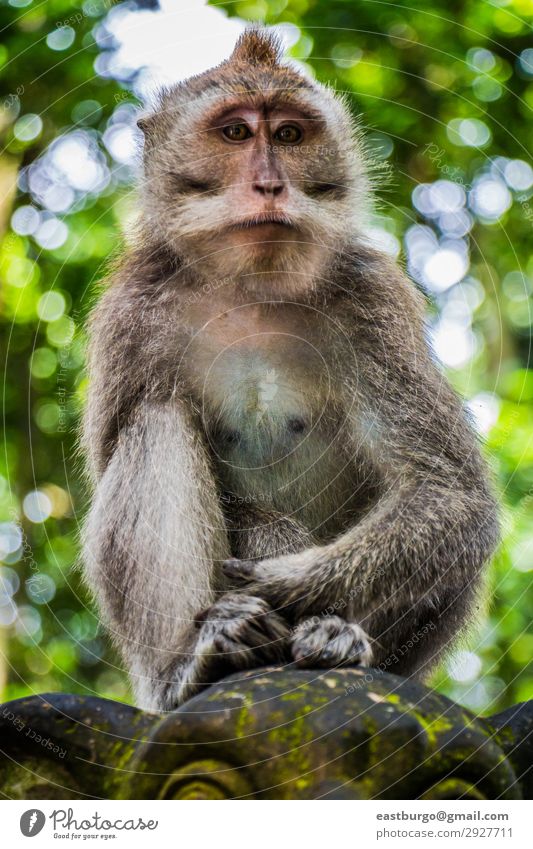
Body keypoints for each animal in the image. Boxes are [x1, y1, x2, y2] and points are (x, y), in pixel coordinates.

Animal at [80, 28, 498, 708]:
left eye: (289, 135)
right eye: (235, 133)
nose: (270, 185)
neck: (254, 286)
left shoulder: (373, 300)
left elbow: (448, 492)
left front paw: (287, 583)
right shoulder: (131, 317)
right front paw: (274, 552)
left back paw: (337, 638)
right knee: (155, 421)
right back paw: (194, 665)